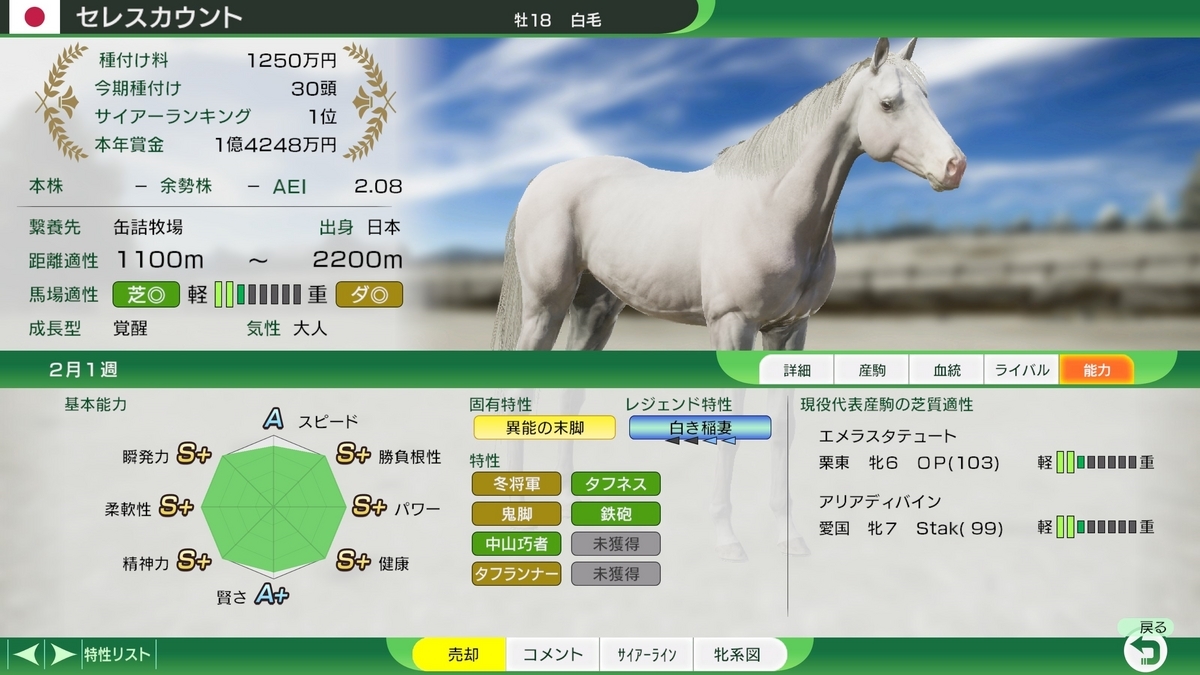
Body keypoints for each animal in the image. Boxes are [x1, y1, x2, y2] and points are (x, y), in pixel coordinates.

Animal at [491, 38, 965, 561]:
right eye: (888, 104)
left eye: (927, 98)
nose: (955, 167)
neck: (773, 206)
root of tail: (540, 182)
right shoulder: (733, 326)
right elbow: (731, 424)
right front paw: (728, 539)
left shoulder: (789, 331)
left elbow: (784, 428)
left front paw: (790, 537)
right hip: (544, 308)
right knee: (521, 394)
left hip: (594, 312)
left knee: (568, 399)